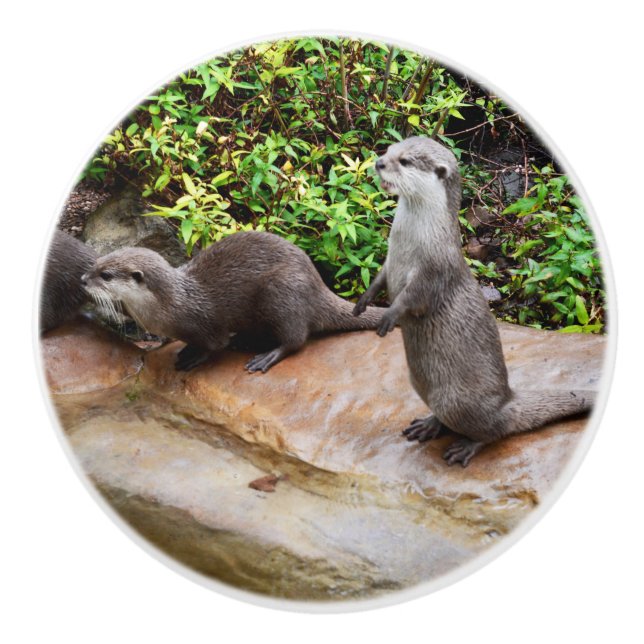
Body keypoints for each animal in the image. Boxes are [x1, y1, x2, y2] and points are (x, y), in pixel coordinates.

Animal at [82, 231, 385, 372]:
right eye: (96, 263)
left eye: (106, 275)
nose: (83, 279)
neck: (171, 304)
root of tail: (318, 284)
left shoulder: (204, 324)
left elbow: (215, 345)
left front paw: (194, 356)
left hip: (283, 293)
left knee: (296, 339)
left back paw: (267, 356)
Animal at [354, 136, 596, 466]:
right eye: (389, 150)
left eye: (404, 161)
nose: (378, 163)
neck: (411, 242)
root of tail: (507, 400)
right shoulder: (391, 262)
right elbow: (379, 279)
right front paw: (363, 302)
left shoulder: (435, 268)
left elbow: (414, 298)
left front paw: (389, 316)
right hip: (422, 386)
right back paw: (429, 425)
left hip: (456, 401)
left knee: (495, 431)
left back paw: (466, 447)